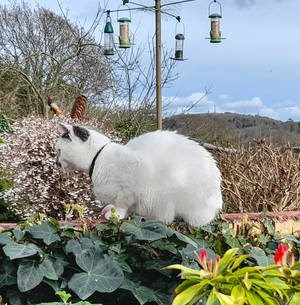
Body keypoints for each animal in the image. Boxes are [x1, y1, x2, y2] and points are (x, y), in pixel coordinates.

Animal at [55, 123, 223, 226]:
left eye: (59, 151)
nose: (56, 162)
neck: (100, 157)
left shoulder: (129, 189)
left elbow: (122, 206)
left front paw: (115, 215)